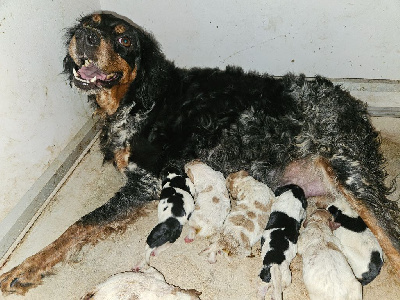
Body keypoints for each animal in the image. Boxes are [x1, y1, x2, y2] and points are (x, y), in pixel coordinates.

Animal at [0, 12, 400, 296]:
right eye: (88, 24)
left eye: (124, 38)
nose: (84, 37)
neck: (138, 100)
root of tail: (351, 105)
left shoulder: (146, 183)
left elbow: (79, 226)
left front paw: (24, 268)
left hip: (350, 173)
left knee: (391, 238)